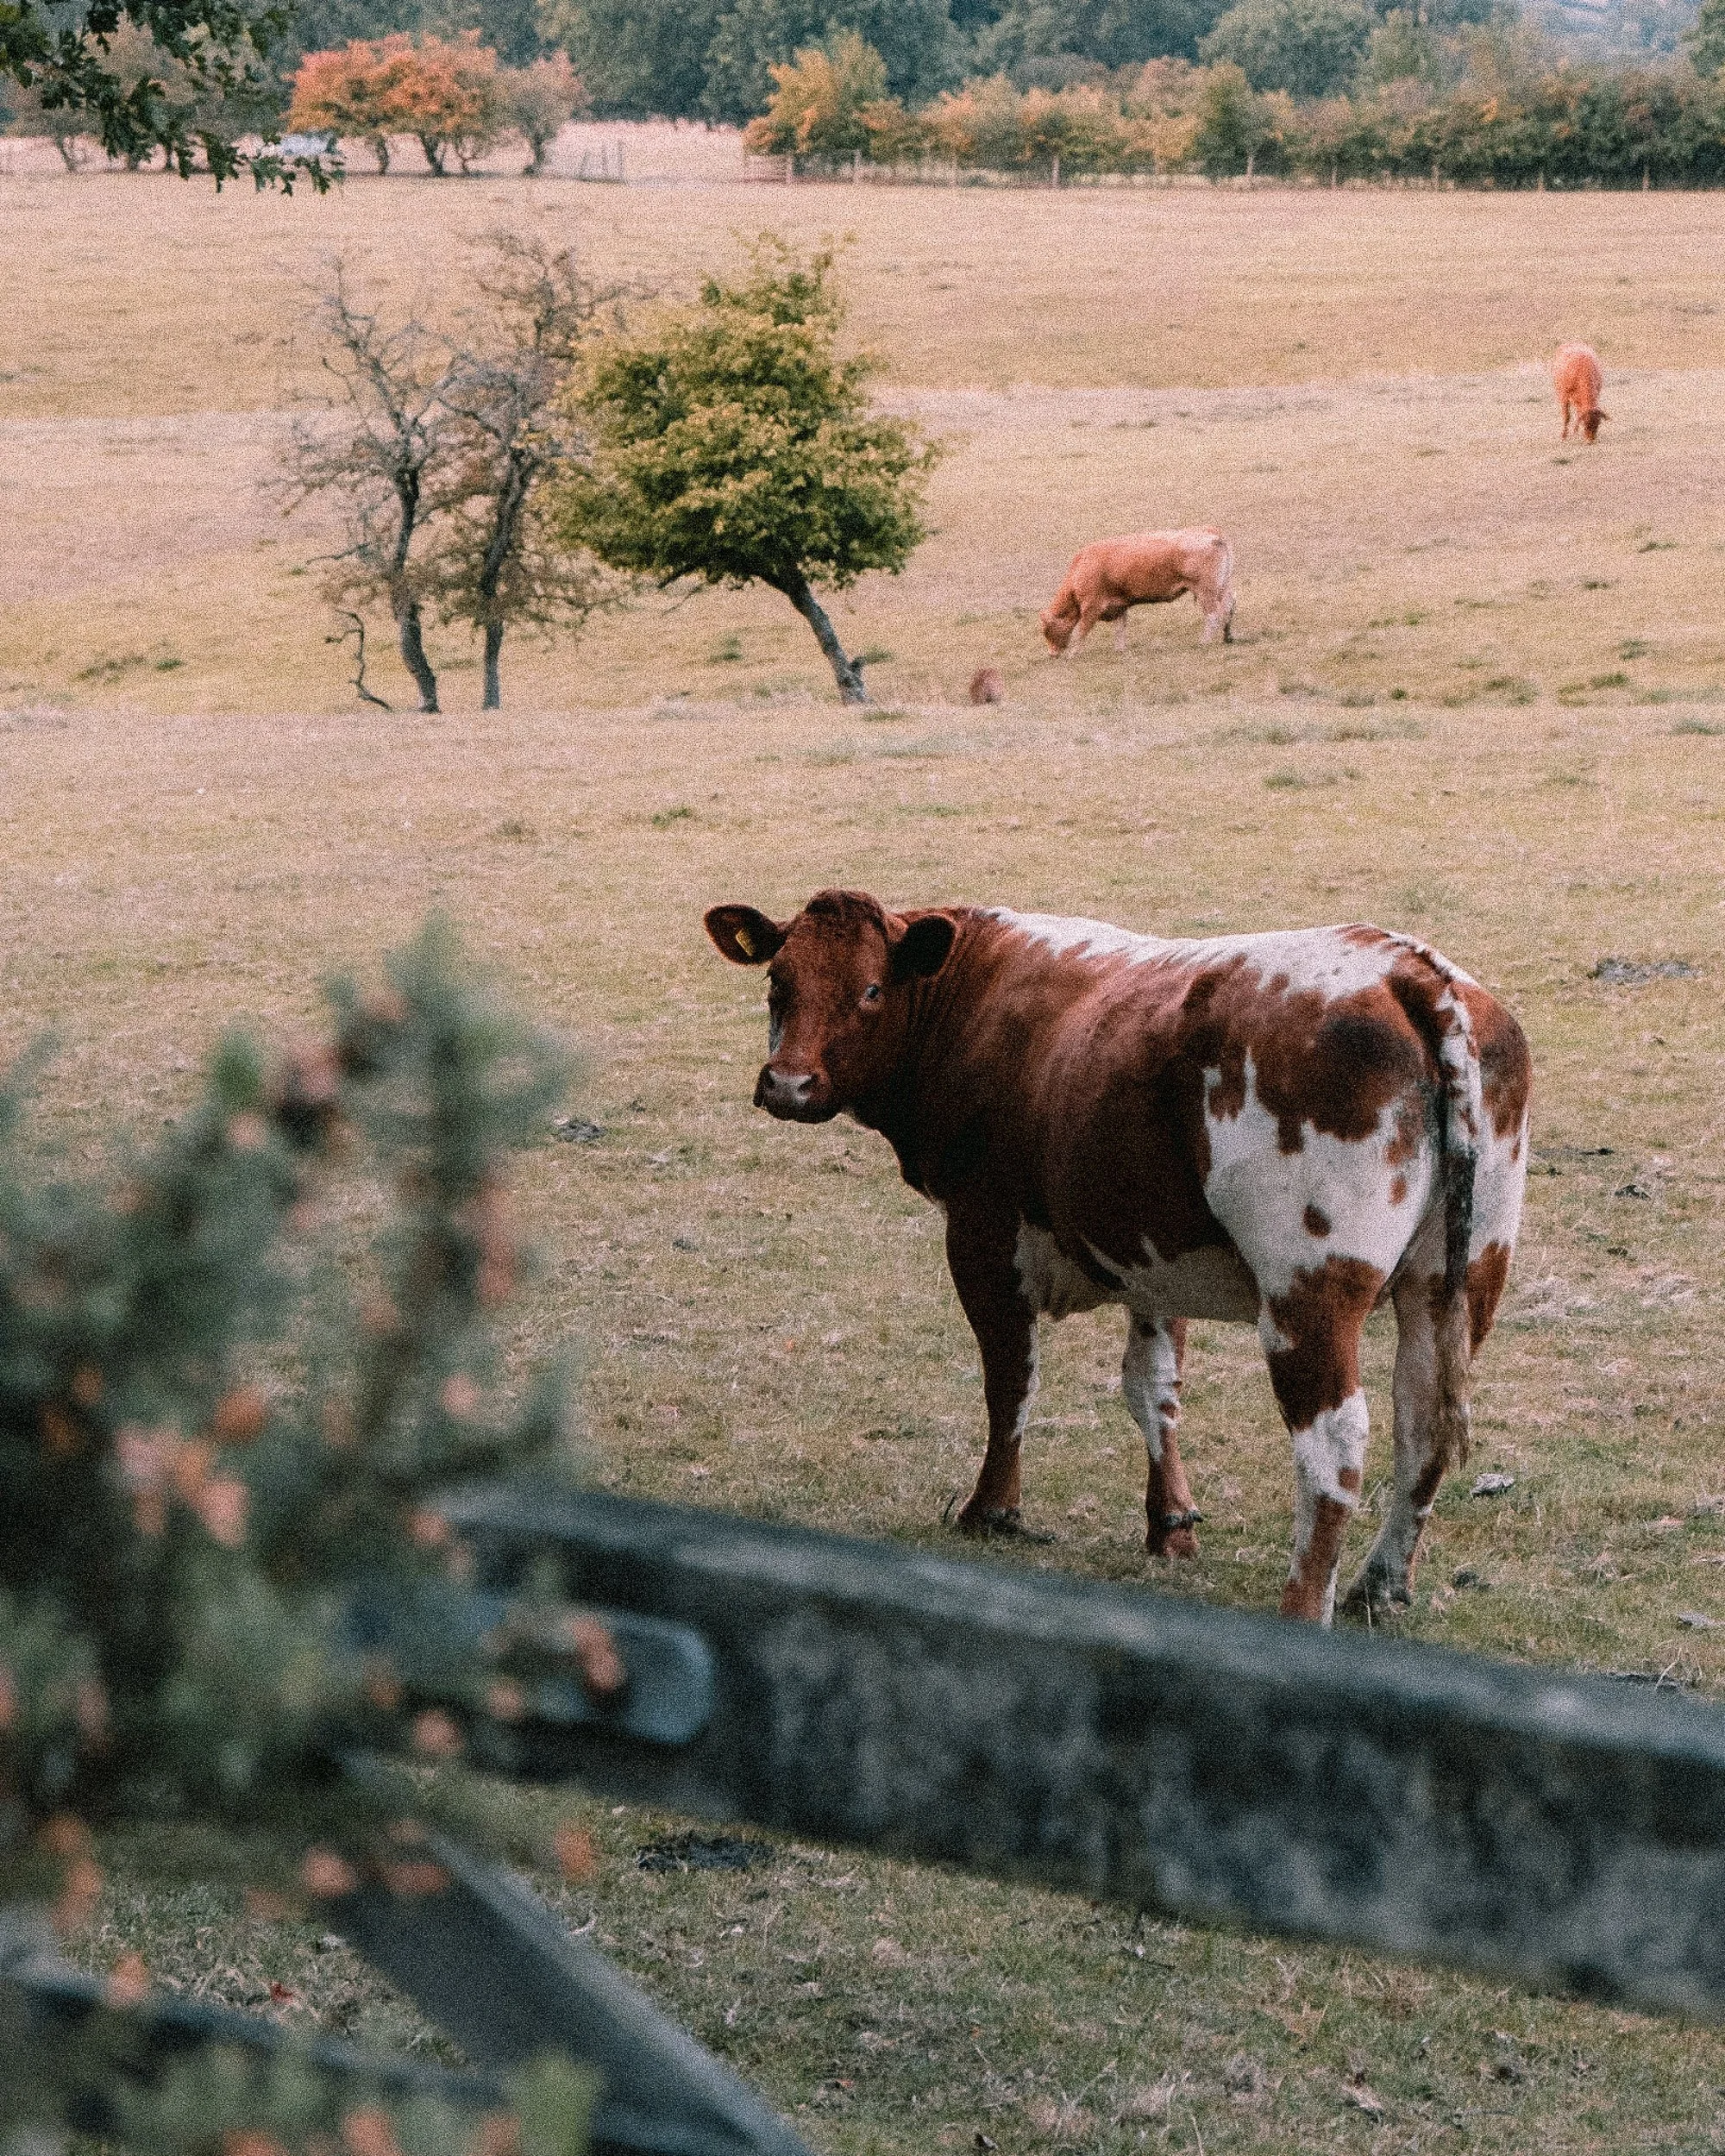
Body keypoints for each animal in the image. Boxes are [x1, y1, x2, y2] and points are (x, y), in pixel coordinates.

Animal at [705, 891, 1531, 1625]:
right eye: (779, 983)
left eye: (871, 989)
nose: (789, 1084)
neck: (975, 998)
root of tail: (1409, 973)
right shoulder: (1153, 1258)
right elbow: (1152, 1388)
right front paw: (1170, 1525)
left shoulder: (984, 1236)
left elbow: (1010, 1381)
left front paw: (992, 1509)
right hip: (1459, 1276)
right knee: (1421, 1424)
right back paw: (1377, 1586)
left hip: (1310, 1292)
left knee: (1334, 1448)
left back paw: (1305, 1605)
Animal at [1041, 530, 1235, 656]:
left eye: (1047, 630)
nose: (1052, 654)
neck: (1082, 565)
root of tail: (1212, 535)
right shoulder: (1119, 606)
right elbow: (1120, 629)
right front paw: (1120, 650)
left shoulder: (1092, 607)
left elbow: (1081, 631)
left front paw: (1073, 654)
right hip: (1222, 589)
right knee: (1229, 608)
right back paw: (1227, 637)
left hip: (1206, 591)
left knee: (1213, 615)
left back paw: (1204, 642)